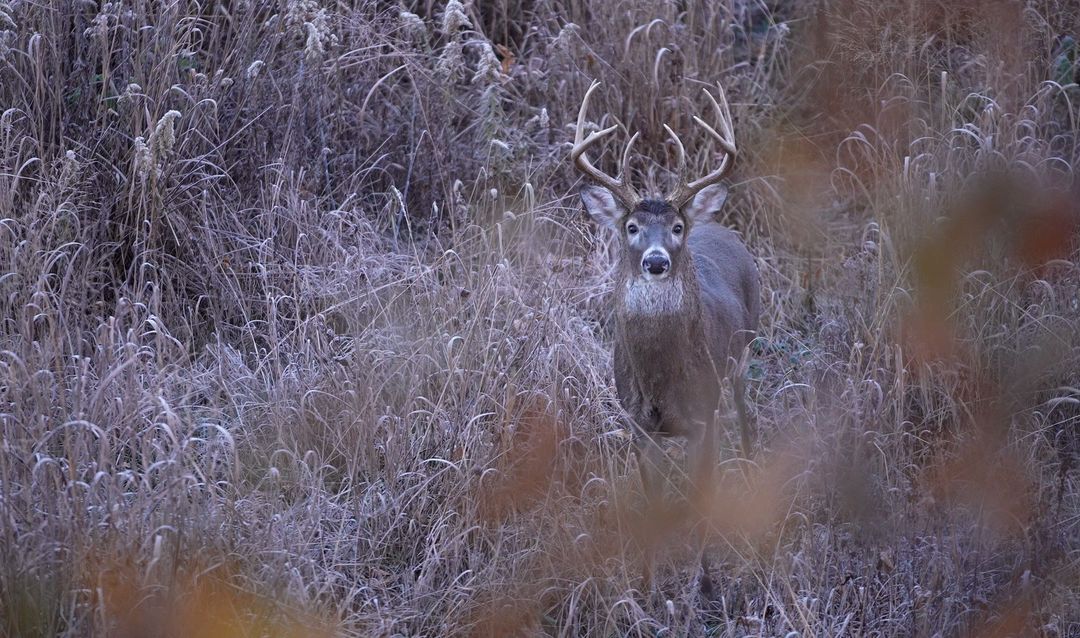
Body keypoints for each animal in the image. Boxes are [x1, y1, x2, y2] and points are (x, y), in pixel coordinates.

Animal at [574, 79, 760, 587]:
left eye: (676, 226)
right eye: (632, 226)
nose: (655, 261)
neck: (662, 380)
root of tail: (718, 225)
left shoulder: (703, 413)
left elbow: (702, 495)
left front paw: (706, 579)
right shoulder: (639, 422)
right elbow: (652, 501)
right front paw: (647, 583)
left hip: (744, 354)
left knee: (746, 419)